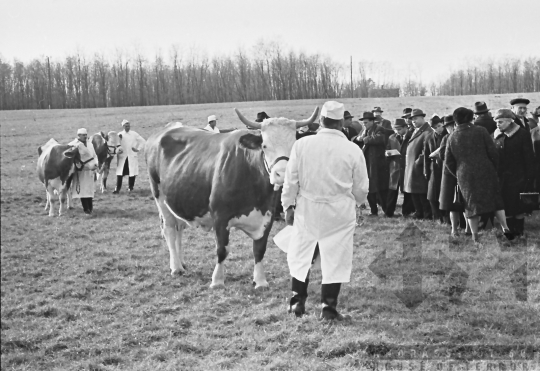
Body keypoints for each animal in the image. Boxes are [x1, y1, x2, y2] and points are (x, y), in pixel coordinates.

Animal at [146, 106, 318, 290]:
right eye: (264, 145)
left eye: (294, 145)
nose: (283, 174)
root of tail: (168, 129)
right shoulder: (220, 217)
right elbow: (222, 249)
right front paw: (217, 280)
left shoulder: (267, 216)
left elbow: (259, 249)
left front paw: (260, 281)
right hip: (160, 198)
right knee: (170, 229)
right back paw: (176, 267)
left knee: (179, 228)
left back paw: (181, 262)